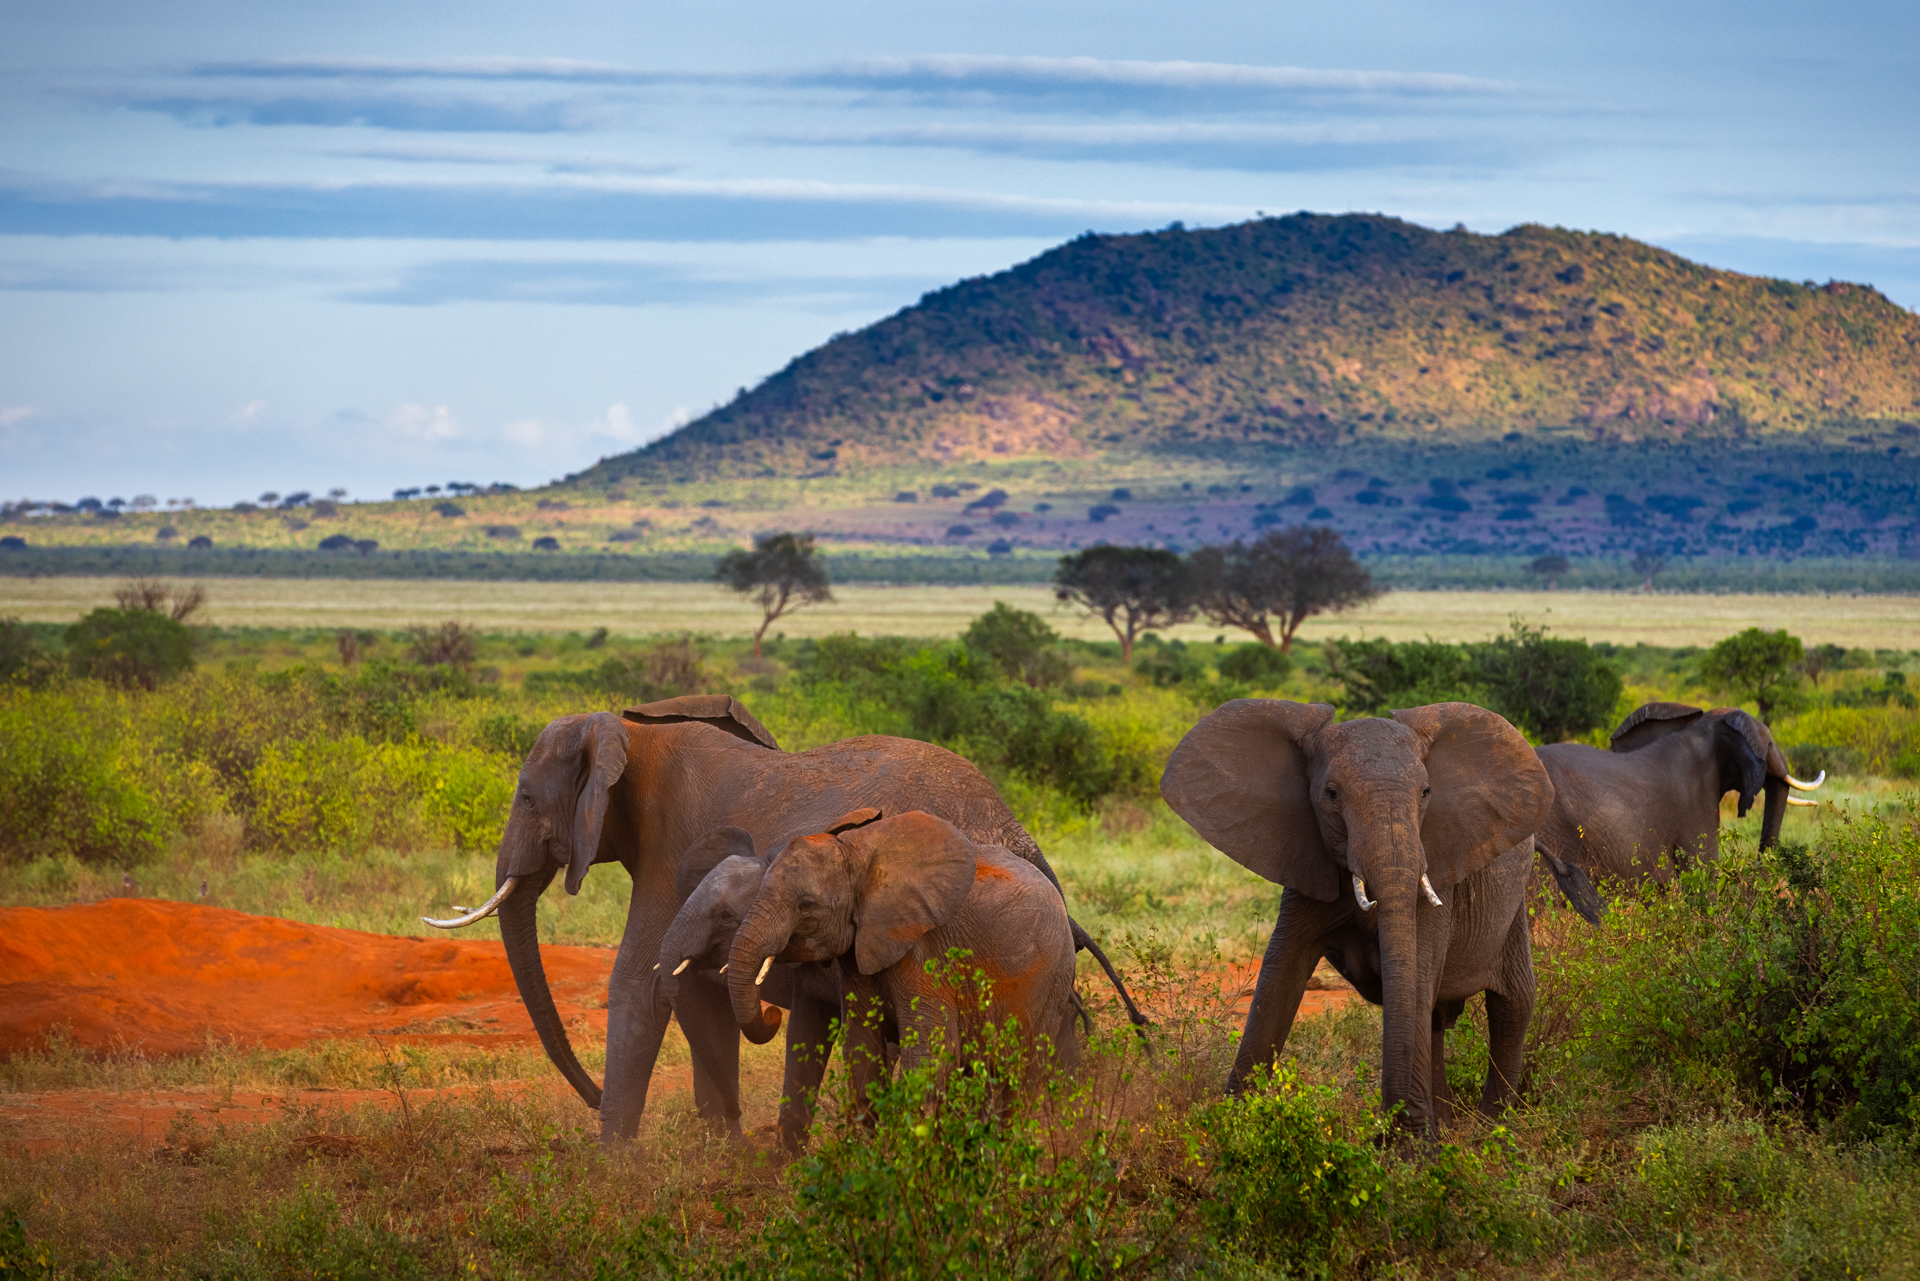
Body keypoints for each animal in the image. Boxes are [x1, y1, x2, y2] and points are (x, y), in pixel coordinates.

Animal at [724, 809, 1083, 1110]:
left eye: (806, 905)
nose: (771, 1014)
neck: (860, 855)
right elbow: (862, 1050)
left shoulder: (924, 955)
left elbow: (930, 1053)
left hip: (1051, 981)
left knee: (1019, 1074)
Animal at [1160, 700, 1553, 1138]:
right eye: (1331, 794)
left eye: (1426, 792)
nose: (1390, 1130)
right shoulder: (1304, 861)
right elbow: (1278, 980)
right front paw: (1230, 1130)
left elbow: (1416, 975)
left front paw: (1413, 1149)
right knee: (1436, 1017)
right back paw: (1449, 1127)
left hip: (1514, 904)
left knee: (1512, 1003)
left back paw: (1491, 1131)